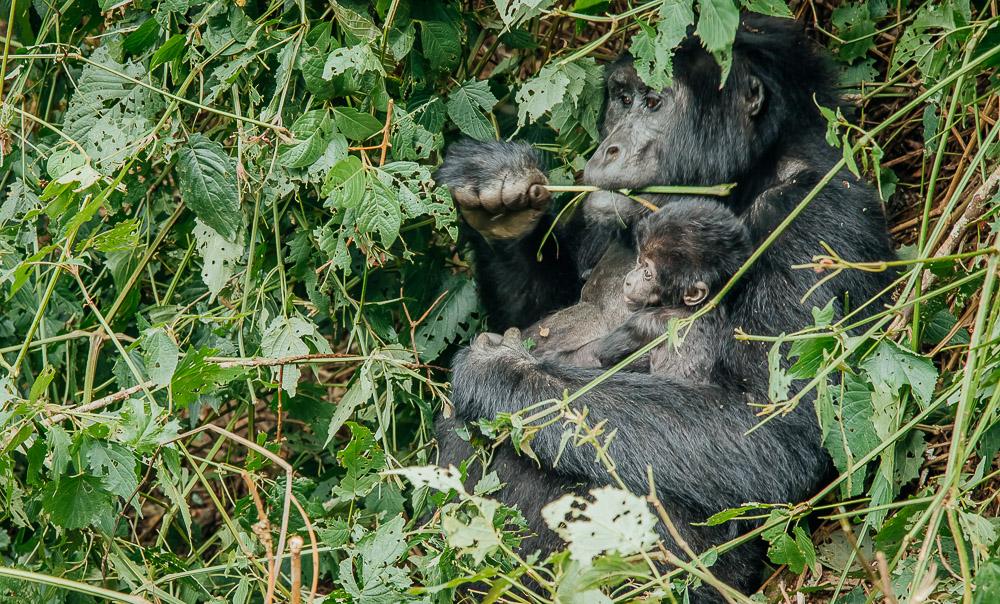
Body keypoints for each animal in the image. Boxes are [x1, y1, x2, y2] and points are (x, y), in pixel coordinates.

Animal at [592, 198, 752, 378]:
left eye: (647, 274)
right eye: (639, 261)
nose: (629, 281)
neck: (695, 308)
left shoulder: (644, 322)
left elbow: (601, 354)